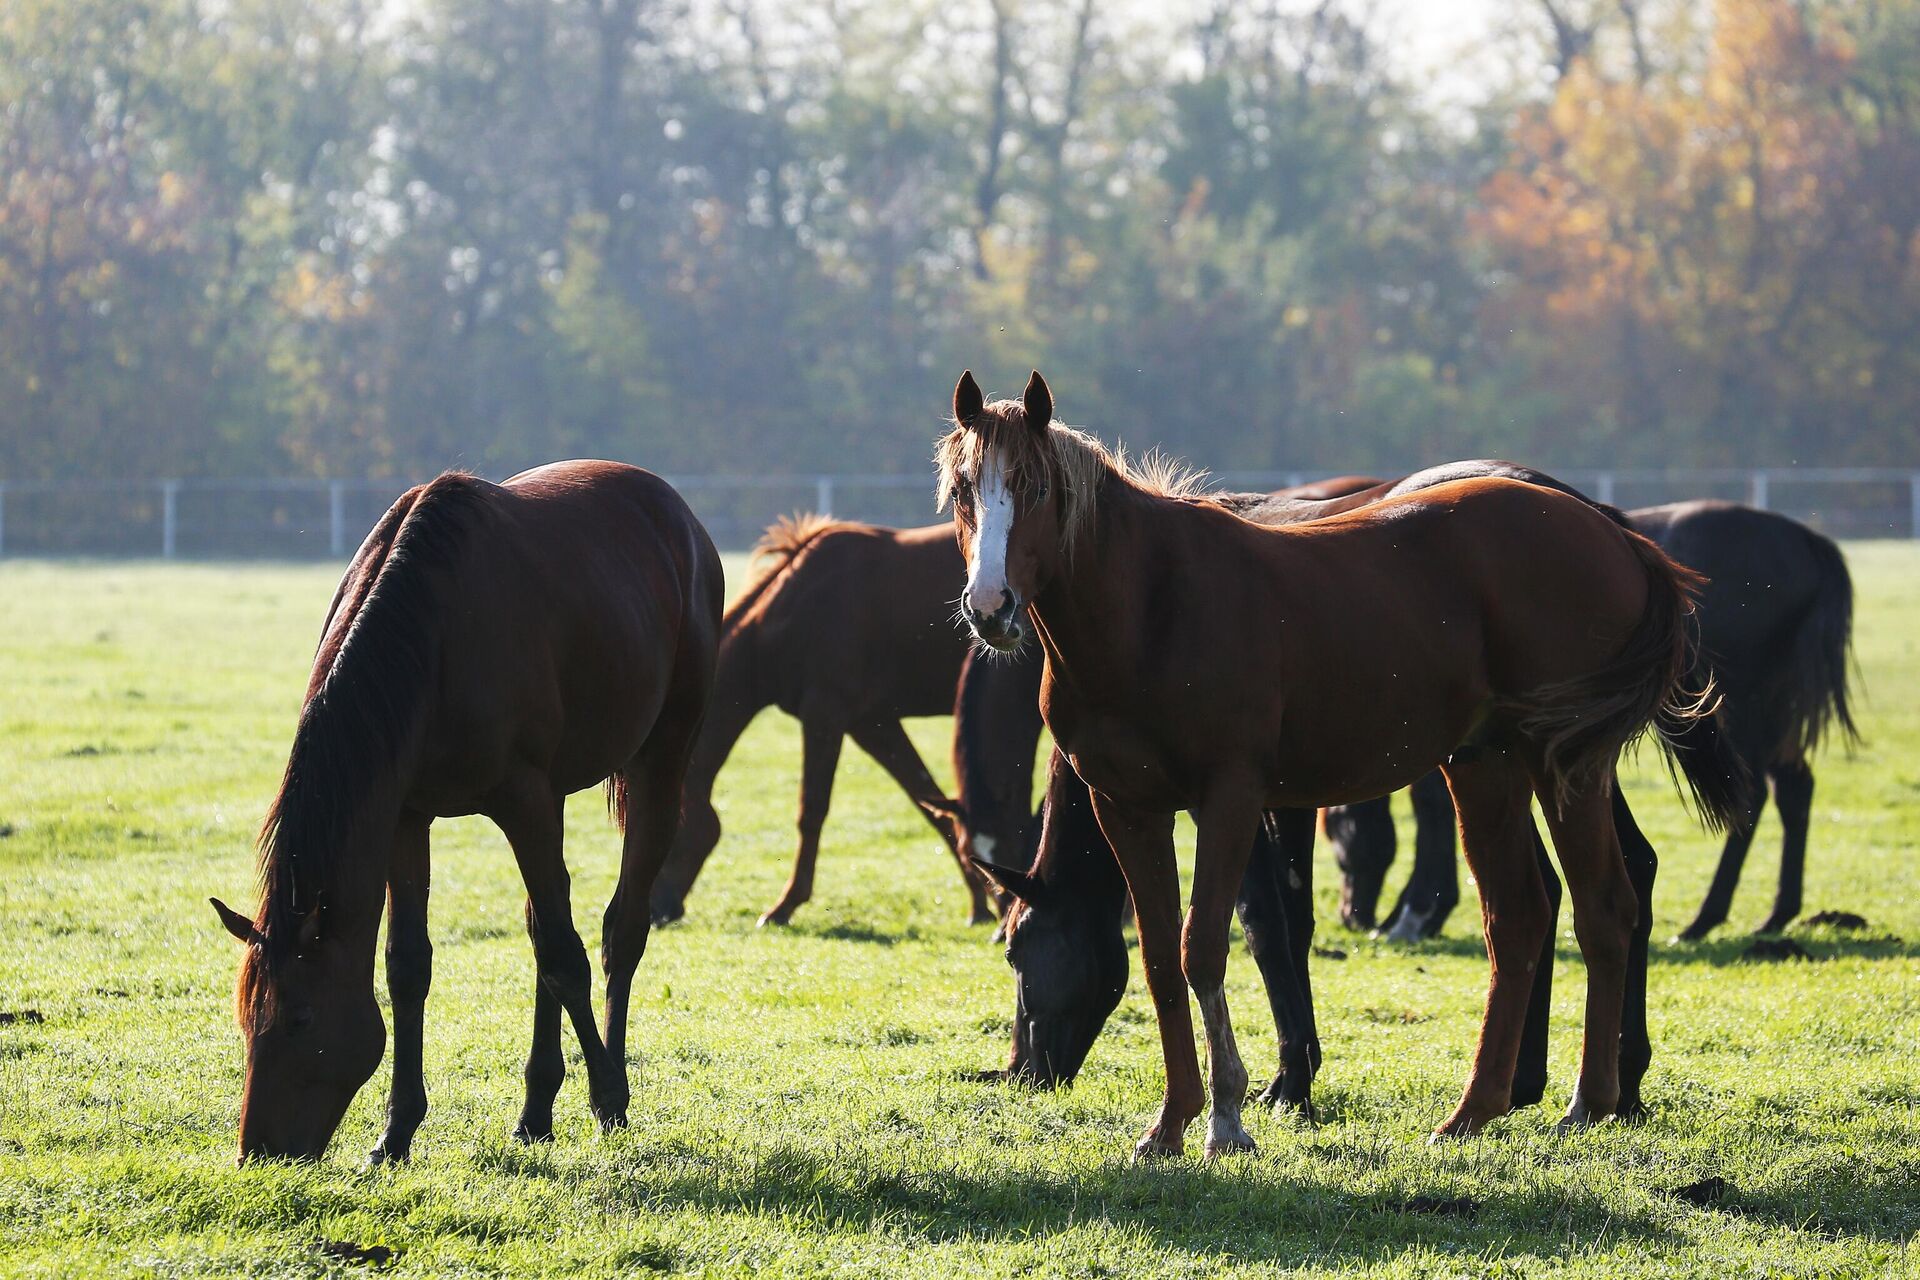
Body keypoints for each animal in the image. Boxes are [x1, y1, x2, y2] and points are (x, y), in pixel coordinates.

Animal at [208, 466, 721, 1166]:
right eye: (244, 1017)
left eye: (300, 1019)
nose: (258, 1151)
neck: (429, 639)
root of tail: (679, 516)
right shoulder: (406, 815)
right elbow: (409, 966)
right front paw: (395, 1133)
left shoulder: (523, 799)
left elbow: (567, 958)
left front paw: (609, 1099)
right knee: (544, 927)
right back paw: (535, 1112)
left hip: (659, 763)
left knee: (619, 931)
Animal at [652, 514, 998, 924]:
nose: (654, 911)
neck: (792, 613)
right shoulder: (873, 725)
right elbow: (932, 805)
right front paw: (983, 901)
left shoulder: (824, 716)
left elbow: (812, 810)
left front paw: (785, 905)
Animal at [936, 372, 1751, 1159]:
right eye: (963, 490)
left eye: (1039, 489)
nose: (990, 606)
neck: (1151, 605)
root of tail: (1614, 532)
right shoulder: (1128, 807)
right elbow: (1165, 957)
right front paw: (1172, 1123)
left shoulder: (1232, 799)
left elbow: (1215, 944)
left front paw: (1229, 1116)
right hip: (1485, 767)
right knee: (1520, 917)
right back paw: (1476, 1110)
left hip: (1566, 767)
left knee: (1605, 908)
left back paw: (1590, 1101)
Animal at [1328, 498, 1850, 940]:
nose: (1353, 915)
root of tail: (1808, 541)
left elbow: (1433, 809)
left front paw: (1414, 914)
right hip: (1772, 712)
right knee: (1792, 790)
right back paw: (1774, 914)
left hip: (1743, 706)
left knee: (1752, 793)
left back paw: (1707, 917)